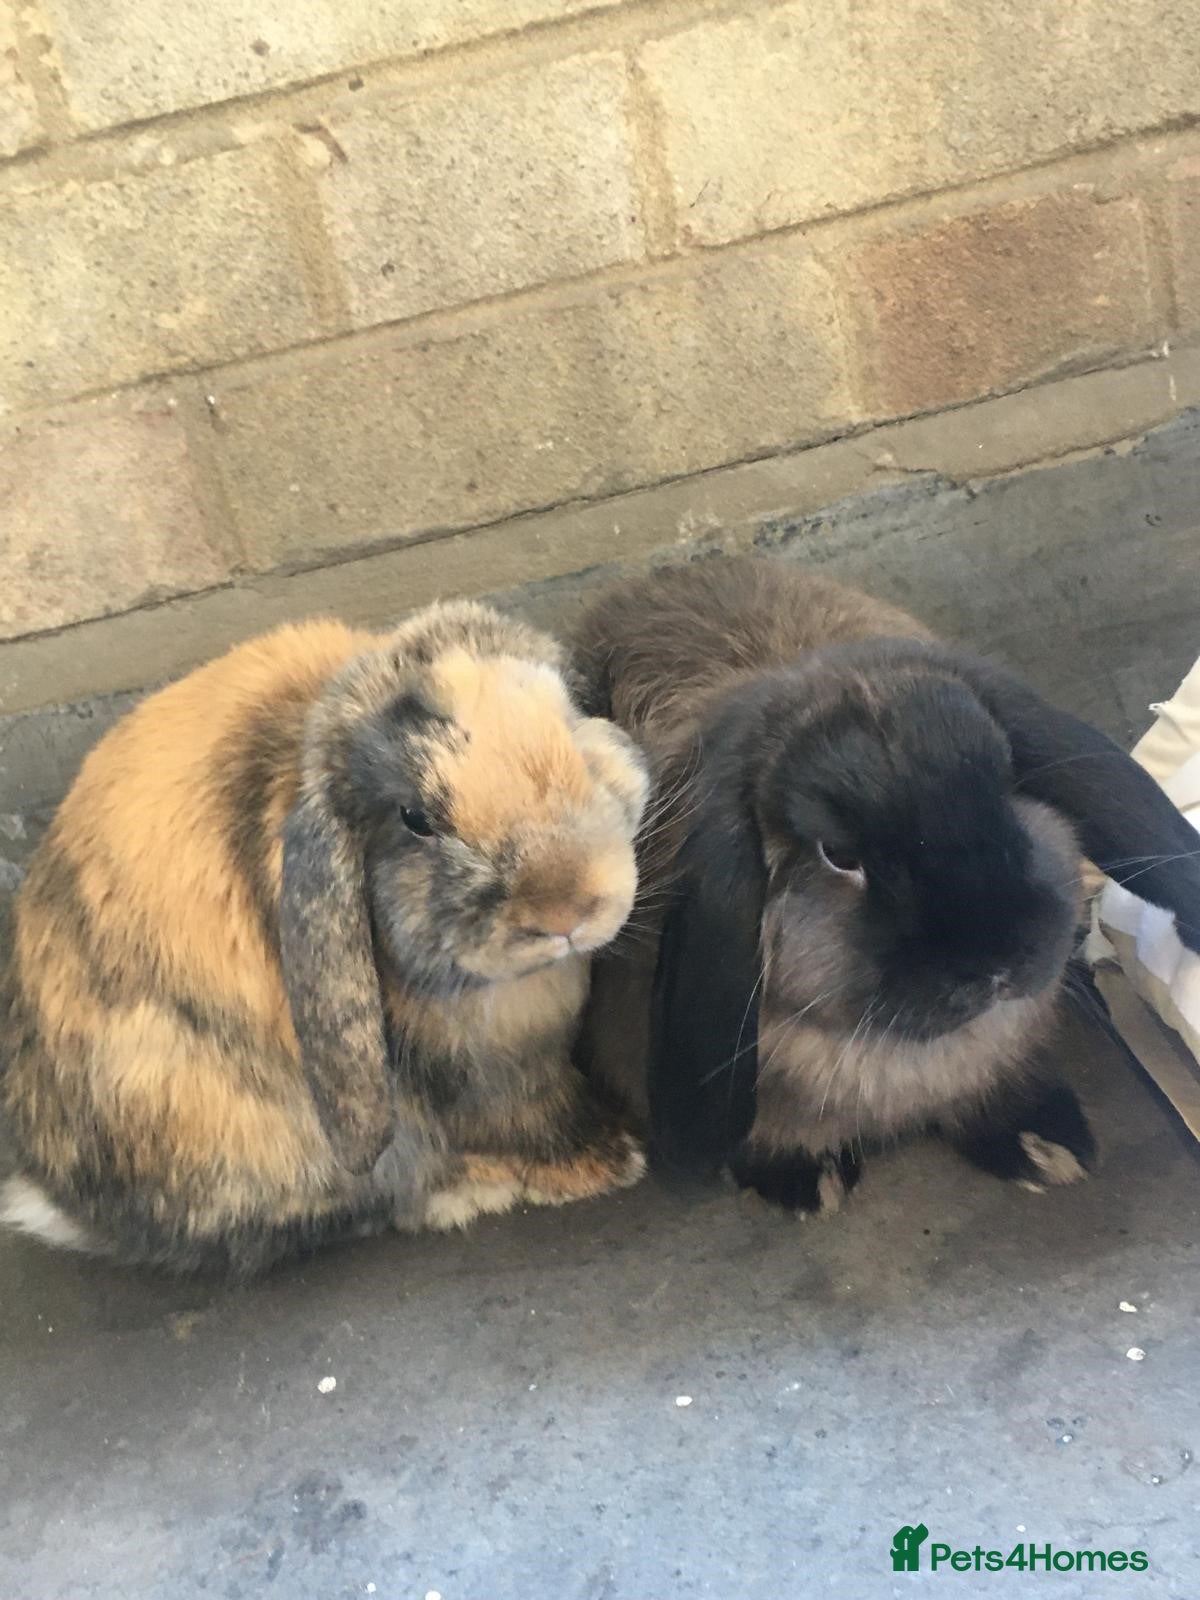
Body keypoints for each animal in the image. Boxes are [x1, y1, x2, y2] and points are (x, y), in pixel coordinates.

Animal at [0, 599, 649, 1276]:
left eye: (572, 732)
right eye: (415, 819)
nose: (565, 908)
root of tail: (53, 1192)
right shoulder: (482, 1081)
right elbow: (518, 1119)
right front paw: (607, 1163)